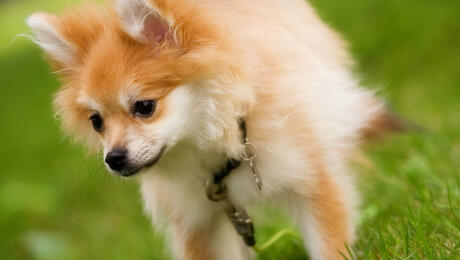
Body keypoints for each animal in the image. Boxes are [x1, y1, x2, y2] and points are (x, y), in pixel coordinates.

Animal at [26, 0, 396, 260]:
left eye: (144, 106)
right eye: (96, 121)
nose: (113, 158)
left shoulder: (312, 179)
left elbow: (328, 241)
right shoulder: (197, 220)